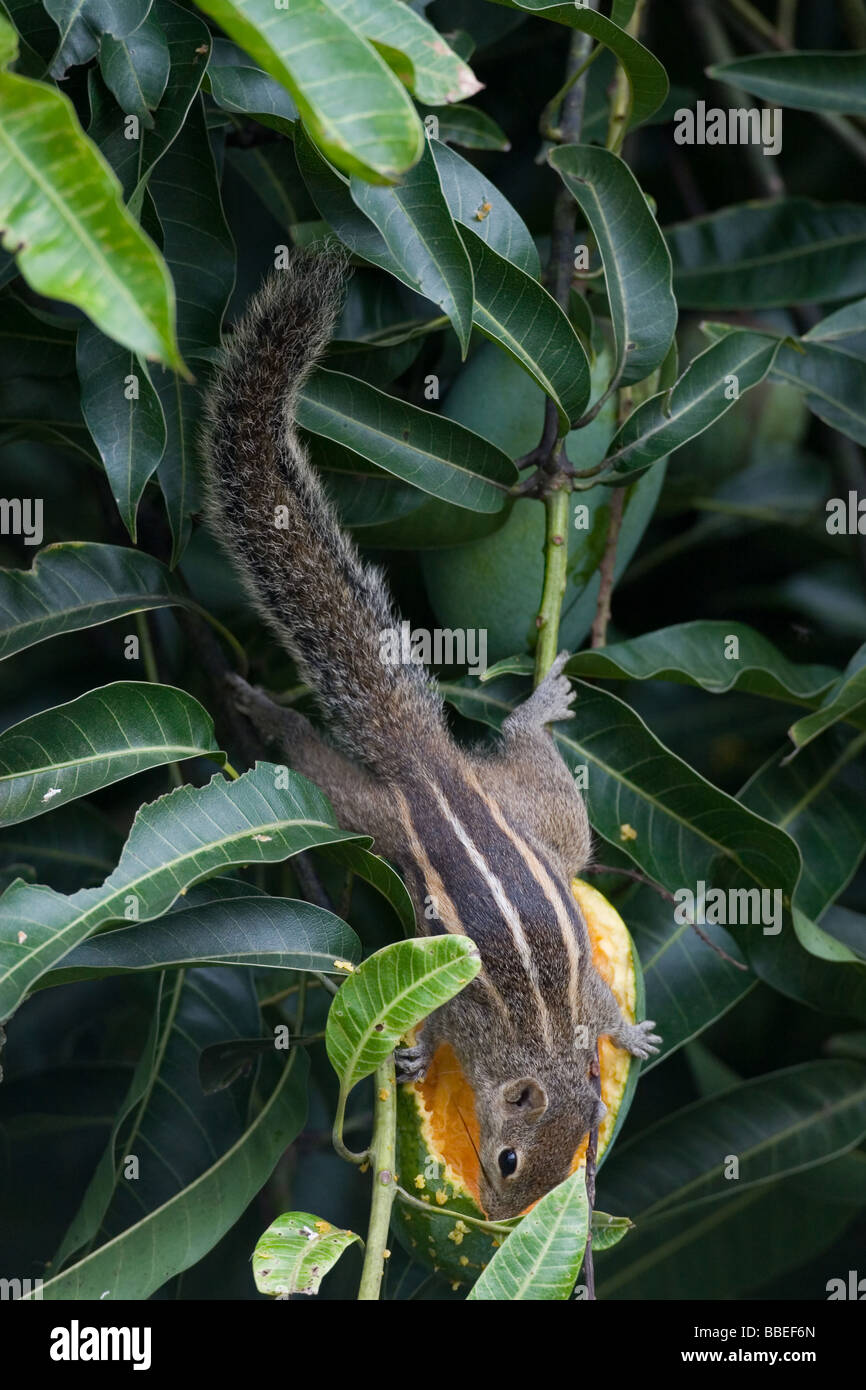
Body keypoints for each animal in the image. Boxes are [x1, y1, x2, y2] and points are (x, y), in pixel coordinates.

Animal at [201, 247, 661, 1221]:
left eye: (572, 1163)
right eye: (512, 1160)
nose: (501, 1219)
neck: (536, 1043)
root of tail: (436, 769)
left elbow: (602, 1011)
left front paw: (632, 1038)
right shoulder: (464, 1004)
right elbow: (433, 1017)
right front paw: (410, 1052)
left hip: (540, 817)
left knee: (542, 786)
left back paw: (535, 709)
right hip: (370, 814)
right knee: (322, 761)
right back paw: (266, 708)